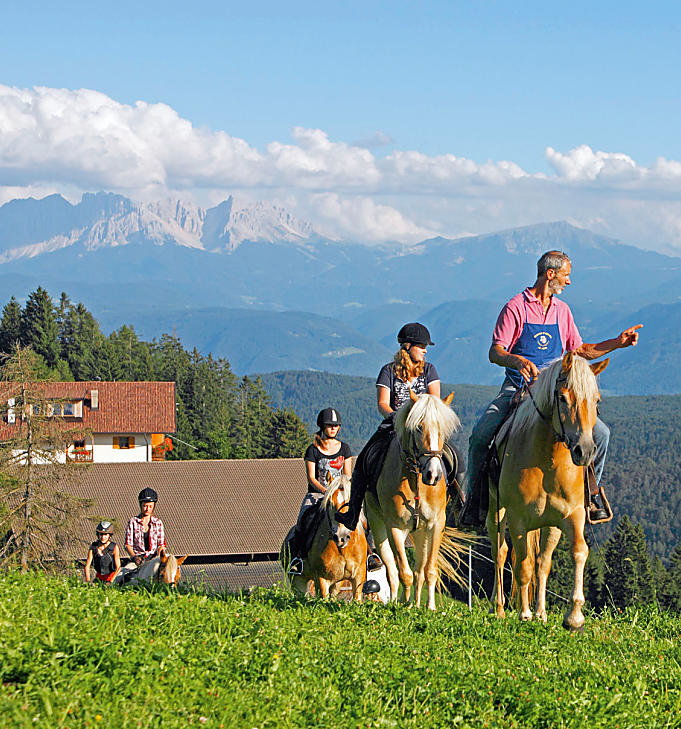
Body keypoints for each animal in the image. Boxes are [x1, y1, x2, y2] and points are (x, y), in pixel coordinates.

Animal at [364, 392, 464, 608]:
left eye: (442, 429)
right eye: (418, 428)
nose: (433, 475)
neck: (416, 480)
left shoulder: (435, 524)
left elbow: (430, 571)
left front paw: (430, 607)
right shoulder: (395, 527)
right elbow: (403, 572)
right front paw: (405, 605)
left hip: (420, 533)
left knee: (419, 571)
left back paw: (417, 603)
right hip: (379, 526)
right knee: (392, 570)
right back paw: (398, 601)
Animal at [486, 350, 608, 628]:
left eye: (596, 401)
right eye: (562, 397)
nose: (585, 451)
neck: (547, 461)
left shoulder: (572, 516)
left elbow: (577, 553)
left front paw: (574, 616)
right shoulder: (518, 520)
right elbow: (522, 565)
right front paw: (524, 613)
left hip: (549, 524)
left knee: (542, 562)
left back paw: (541, 612)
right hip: (496, 511)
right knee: (500, 553)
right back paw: (499, 608)